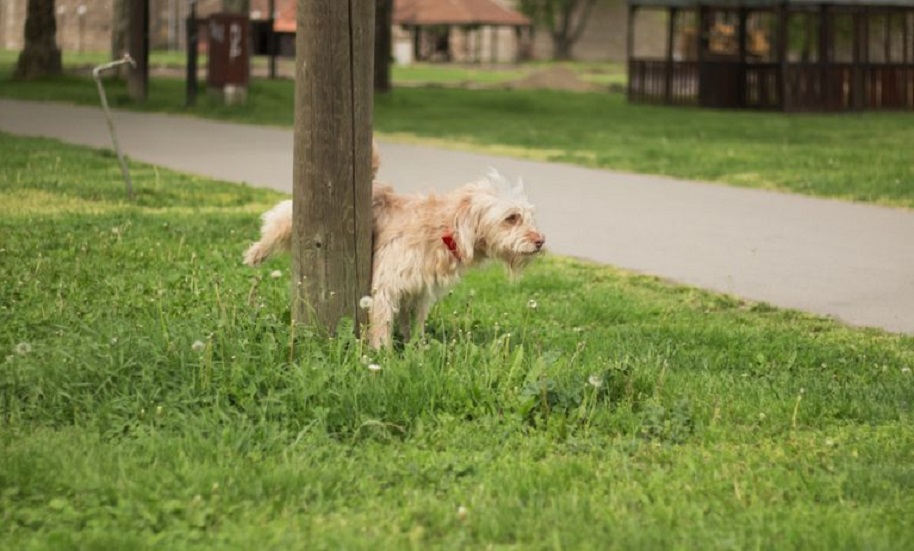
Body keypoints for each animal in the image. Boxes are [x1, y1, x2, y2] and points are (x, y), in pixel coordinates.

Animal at [242, 149, 540, 350]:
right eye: (511, 217)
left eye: (528, 216)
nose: (541, 241)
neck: (442, 230)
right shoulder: (386, 286)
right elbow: (382, 325)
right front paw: (381, 356)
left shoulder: (418, 292)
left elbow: (415, 324)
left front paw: (417, 350)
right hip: (290, 219)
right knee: (274, 225)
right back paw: (255, 254)